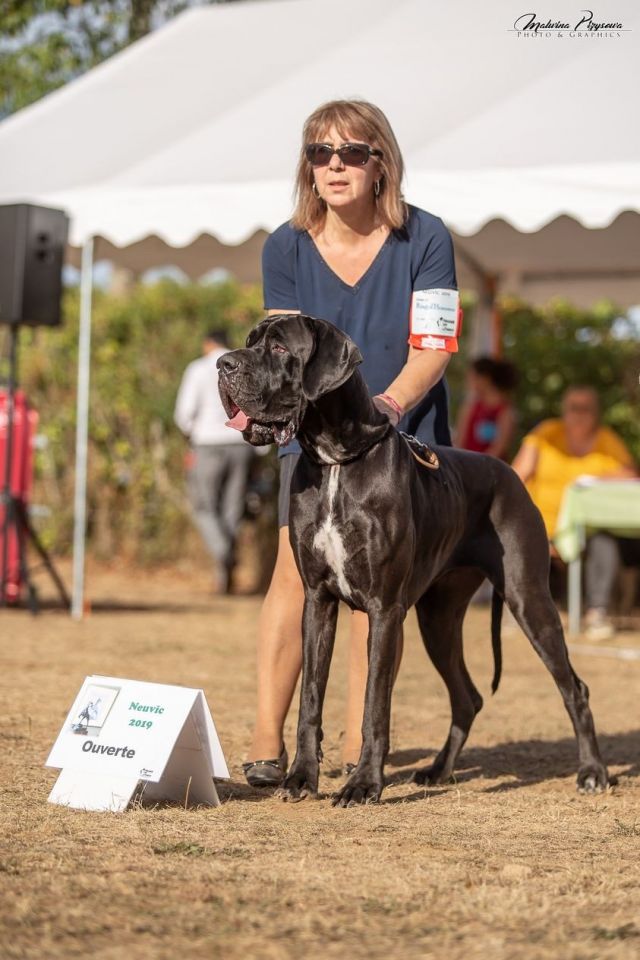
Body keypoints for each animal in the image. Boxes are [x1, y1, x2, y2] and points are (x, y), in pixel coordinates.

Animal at [218, 314, 610, 807]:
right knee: (468, 697)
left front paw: (364, 783)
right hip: (437, 618)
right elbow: (310, 697)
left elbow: (374, 705)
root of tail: (509, 472)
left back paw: (593, 772)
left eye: (279, 347)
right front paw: (301, 778)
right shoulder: (317, 601)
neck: (337, 460)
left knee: (574, 687)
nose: (222, 364)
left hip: (528, 598)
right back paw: (439, 770)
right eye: (249, 341)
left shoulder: (384, 610)